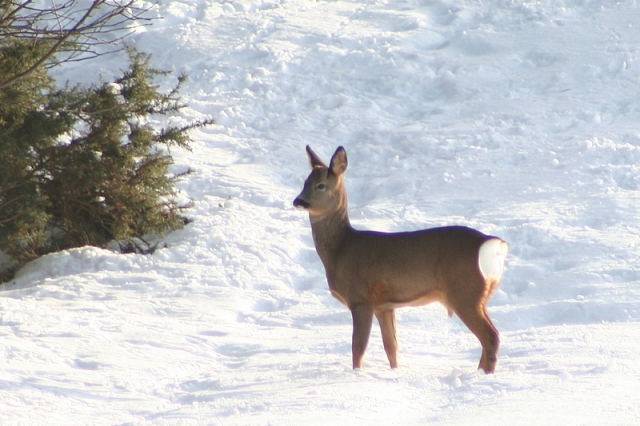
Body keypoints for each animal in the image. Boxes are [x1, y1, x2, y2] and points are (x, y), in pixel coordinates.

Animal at [293, 146, 508, 374]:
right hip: (479, 296)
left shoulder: (361, 299)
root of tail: (490, 244)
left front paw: (357, 374)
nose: (298, 201)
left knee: (491, 337)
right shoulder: (384, 305)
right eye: (304, 182)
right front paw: (395, 372)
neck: (341, 249)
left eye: (320, 185)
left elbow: (358, 346)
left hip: (464, 293)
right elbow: (391, 346)